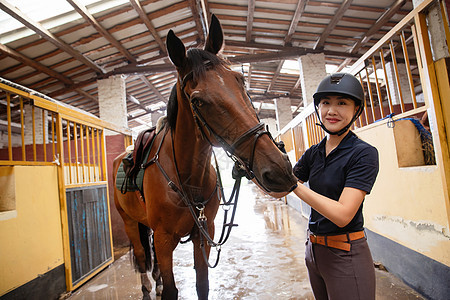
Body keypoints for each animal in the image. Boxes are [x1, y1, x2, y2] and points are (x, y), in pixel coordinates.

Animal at [112, 14, 298, 300]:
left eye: (240, 81)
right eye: (198, 101)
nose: (279, 169)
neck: (188, 178)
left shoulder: (204, 232)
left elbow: (202, 284)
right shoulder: (165, 240)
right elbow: (171, 290)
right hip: (130, 222)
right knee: (143, 258)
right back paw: (147, 288)